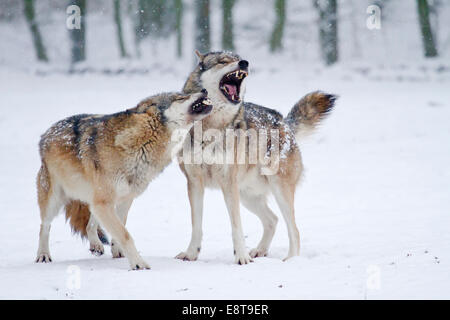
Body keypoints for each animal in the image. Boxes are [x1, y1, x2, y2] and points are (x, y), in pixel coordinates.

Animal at [35, 90, 213, 270]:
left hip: (96, 200)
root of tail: (46, 133)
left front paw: (118, 251)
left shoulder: (124, 199)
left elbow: (120, 228)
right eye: (180, 97)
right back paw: (43, 255)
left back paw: (96, 245)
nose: (204, 91)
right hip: (55, 200)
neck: (141, 143)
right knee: (44, 226)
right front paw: (138, 263)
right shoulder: (105, 202)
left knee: (90, 224)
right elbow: (125, 235)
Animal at [174, 51, 336, 264]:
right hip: (247, 196)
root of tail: (285, 122)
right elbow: (196, 225)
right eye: (223, 61)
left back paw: (290, 259)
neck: (211, 128)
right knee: (272, 220)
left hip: (277, 190)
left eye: (238, 57)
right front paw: (191, 254)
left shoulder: (228, 184)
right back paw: (259, 250)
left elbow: (236, 226)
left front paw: (241, 257)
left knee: (294, 229)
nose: (245, 63)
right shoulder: (193, 183)